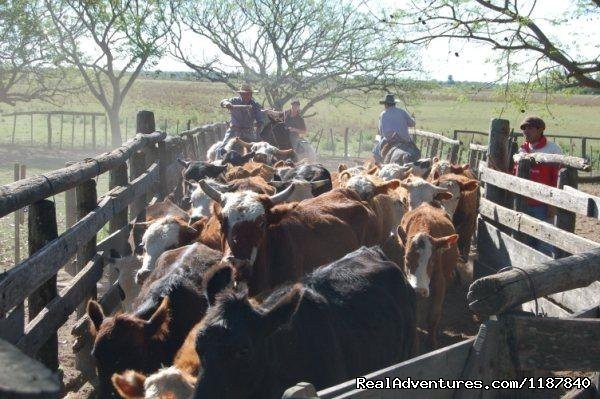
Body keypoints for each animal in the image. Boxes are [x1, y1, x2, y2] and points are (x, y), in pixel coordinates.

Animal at [404, 203, 460, 350]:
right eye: (406, 259)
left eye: (433, 260)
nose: (419, 291)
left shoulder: (440, 282)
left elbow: (434, 315)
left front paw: (432, 343)